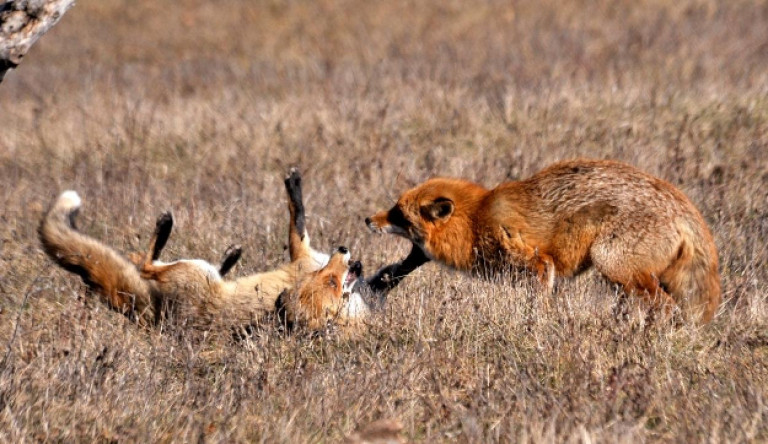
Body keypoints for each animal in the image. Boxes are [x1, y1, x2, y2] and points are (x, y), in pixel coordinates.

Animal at [368, 159, 724, 322]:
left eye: (397, 214)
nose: (368, 220)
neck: (475, 219)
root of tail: (681, 204)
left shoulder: (539, 262)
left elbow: (538, 306)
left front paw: (537, 328)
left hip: (612, 263)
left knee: (667, 308)